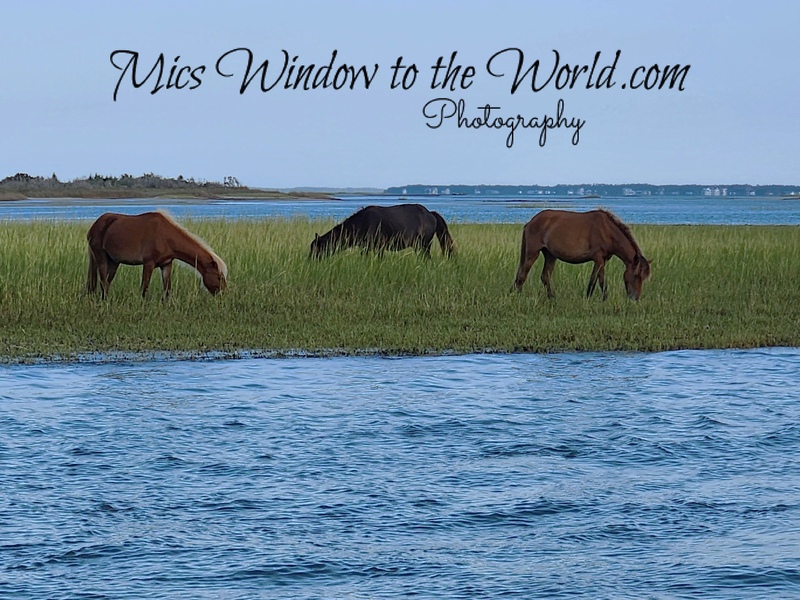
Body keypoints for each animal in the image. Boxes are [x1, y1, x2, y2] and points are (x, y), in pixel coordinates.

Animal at [86, 210, 227, 299]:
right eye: (219, 277)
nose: (224, 293)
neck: (166, 237)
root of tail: (94, 226)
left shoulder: (166, 265)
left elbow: (167, 289)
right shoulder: (148, 264)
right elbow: (144, 288)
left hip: (114, 262)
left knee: (107, 282)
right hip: (101, 259)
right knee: (103, 282)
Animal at [309, 203, 456, 258]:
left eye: (317, 248)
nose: (310, 260)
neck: (362, 222)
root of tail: (431, 214)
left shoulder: (379, 246)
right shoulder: (365, 248)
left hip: (424, 244)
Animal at [513, 209, 651, 300]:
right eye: (636, 275)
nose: (635, 298)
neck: (607, 230)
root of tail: (530, 222)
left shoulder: (601, 260)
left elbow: (593, 279)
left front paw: (588, 297)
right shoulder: (599, 258)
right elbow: (602, 281)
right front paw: (605, 299)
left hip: (550, 255)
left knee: (545, 276)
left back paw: (552, 297)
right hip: (532, 253)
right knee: (522, 274)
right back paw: (519, 296)